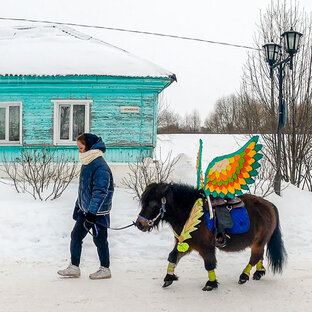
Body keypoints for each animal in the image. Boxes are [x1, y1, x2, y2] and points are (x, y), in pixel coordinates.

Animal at [135, 182, 286, 292]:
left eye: (153, 204)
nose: (139, 224)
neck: (190, 212)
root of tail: (270, 205)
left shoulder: (205, 246)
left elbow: (209, 263)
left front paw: (211, 283)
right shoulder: (185, 242)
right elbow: (173, 257)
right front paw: (168, 277)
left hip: (259, 241)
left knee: (255, 257)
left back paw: (244, 276)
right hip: (258, 241)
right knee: (259, 256)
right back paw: (259, 272)